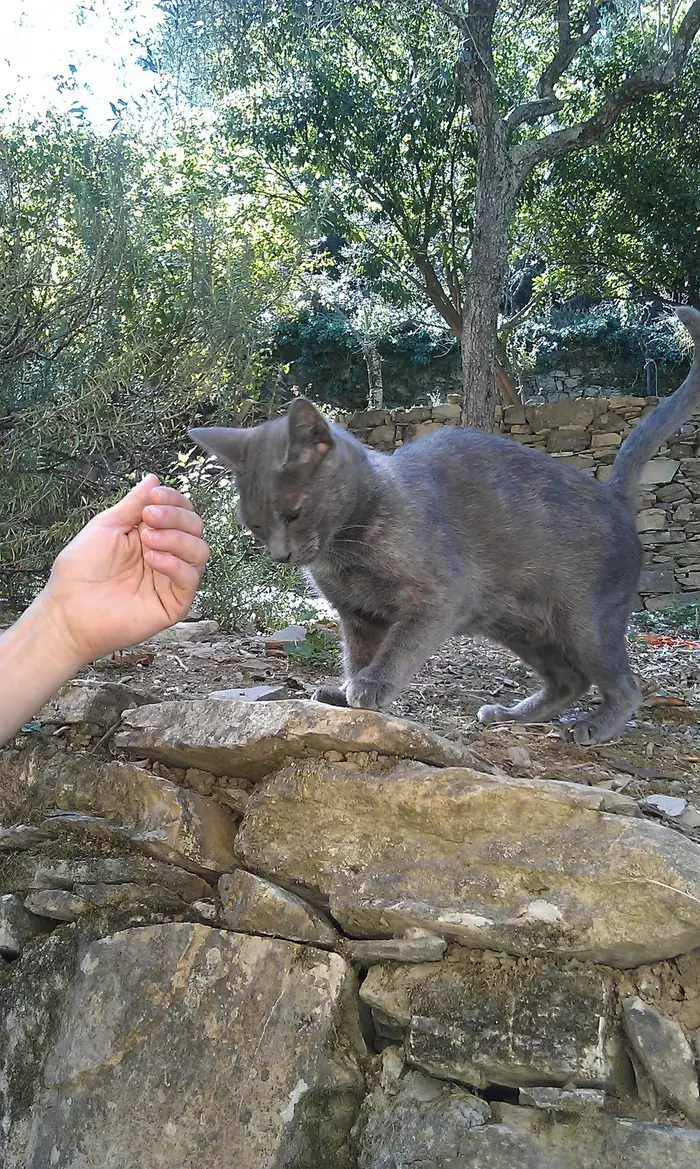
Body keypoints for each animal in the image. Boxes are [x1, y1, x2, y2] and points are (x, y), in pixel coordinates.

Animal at [190, 306, 700, 743]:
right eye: (254, 526)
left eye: (293, 513)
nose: (280, 554)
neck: (345, 552)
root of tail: (610, 493)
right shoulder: (356, 615)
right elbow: (357, 655)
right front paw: (346, 689)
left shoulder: (437, 597)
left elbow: (398, 648)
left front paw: (371, 687)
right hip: (516, 624)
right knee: (570, 679)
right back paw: (512, 714)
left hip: (584, 621)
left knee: (623, 684)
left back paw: (594, 725)